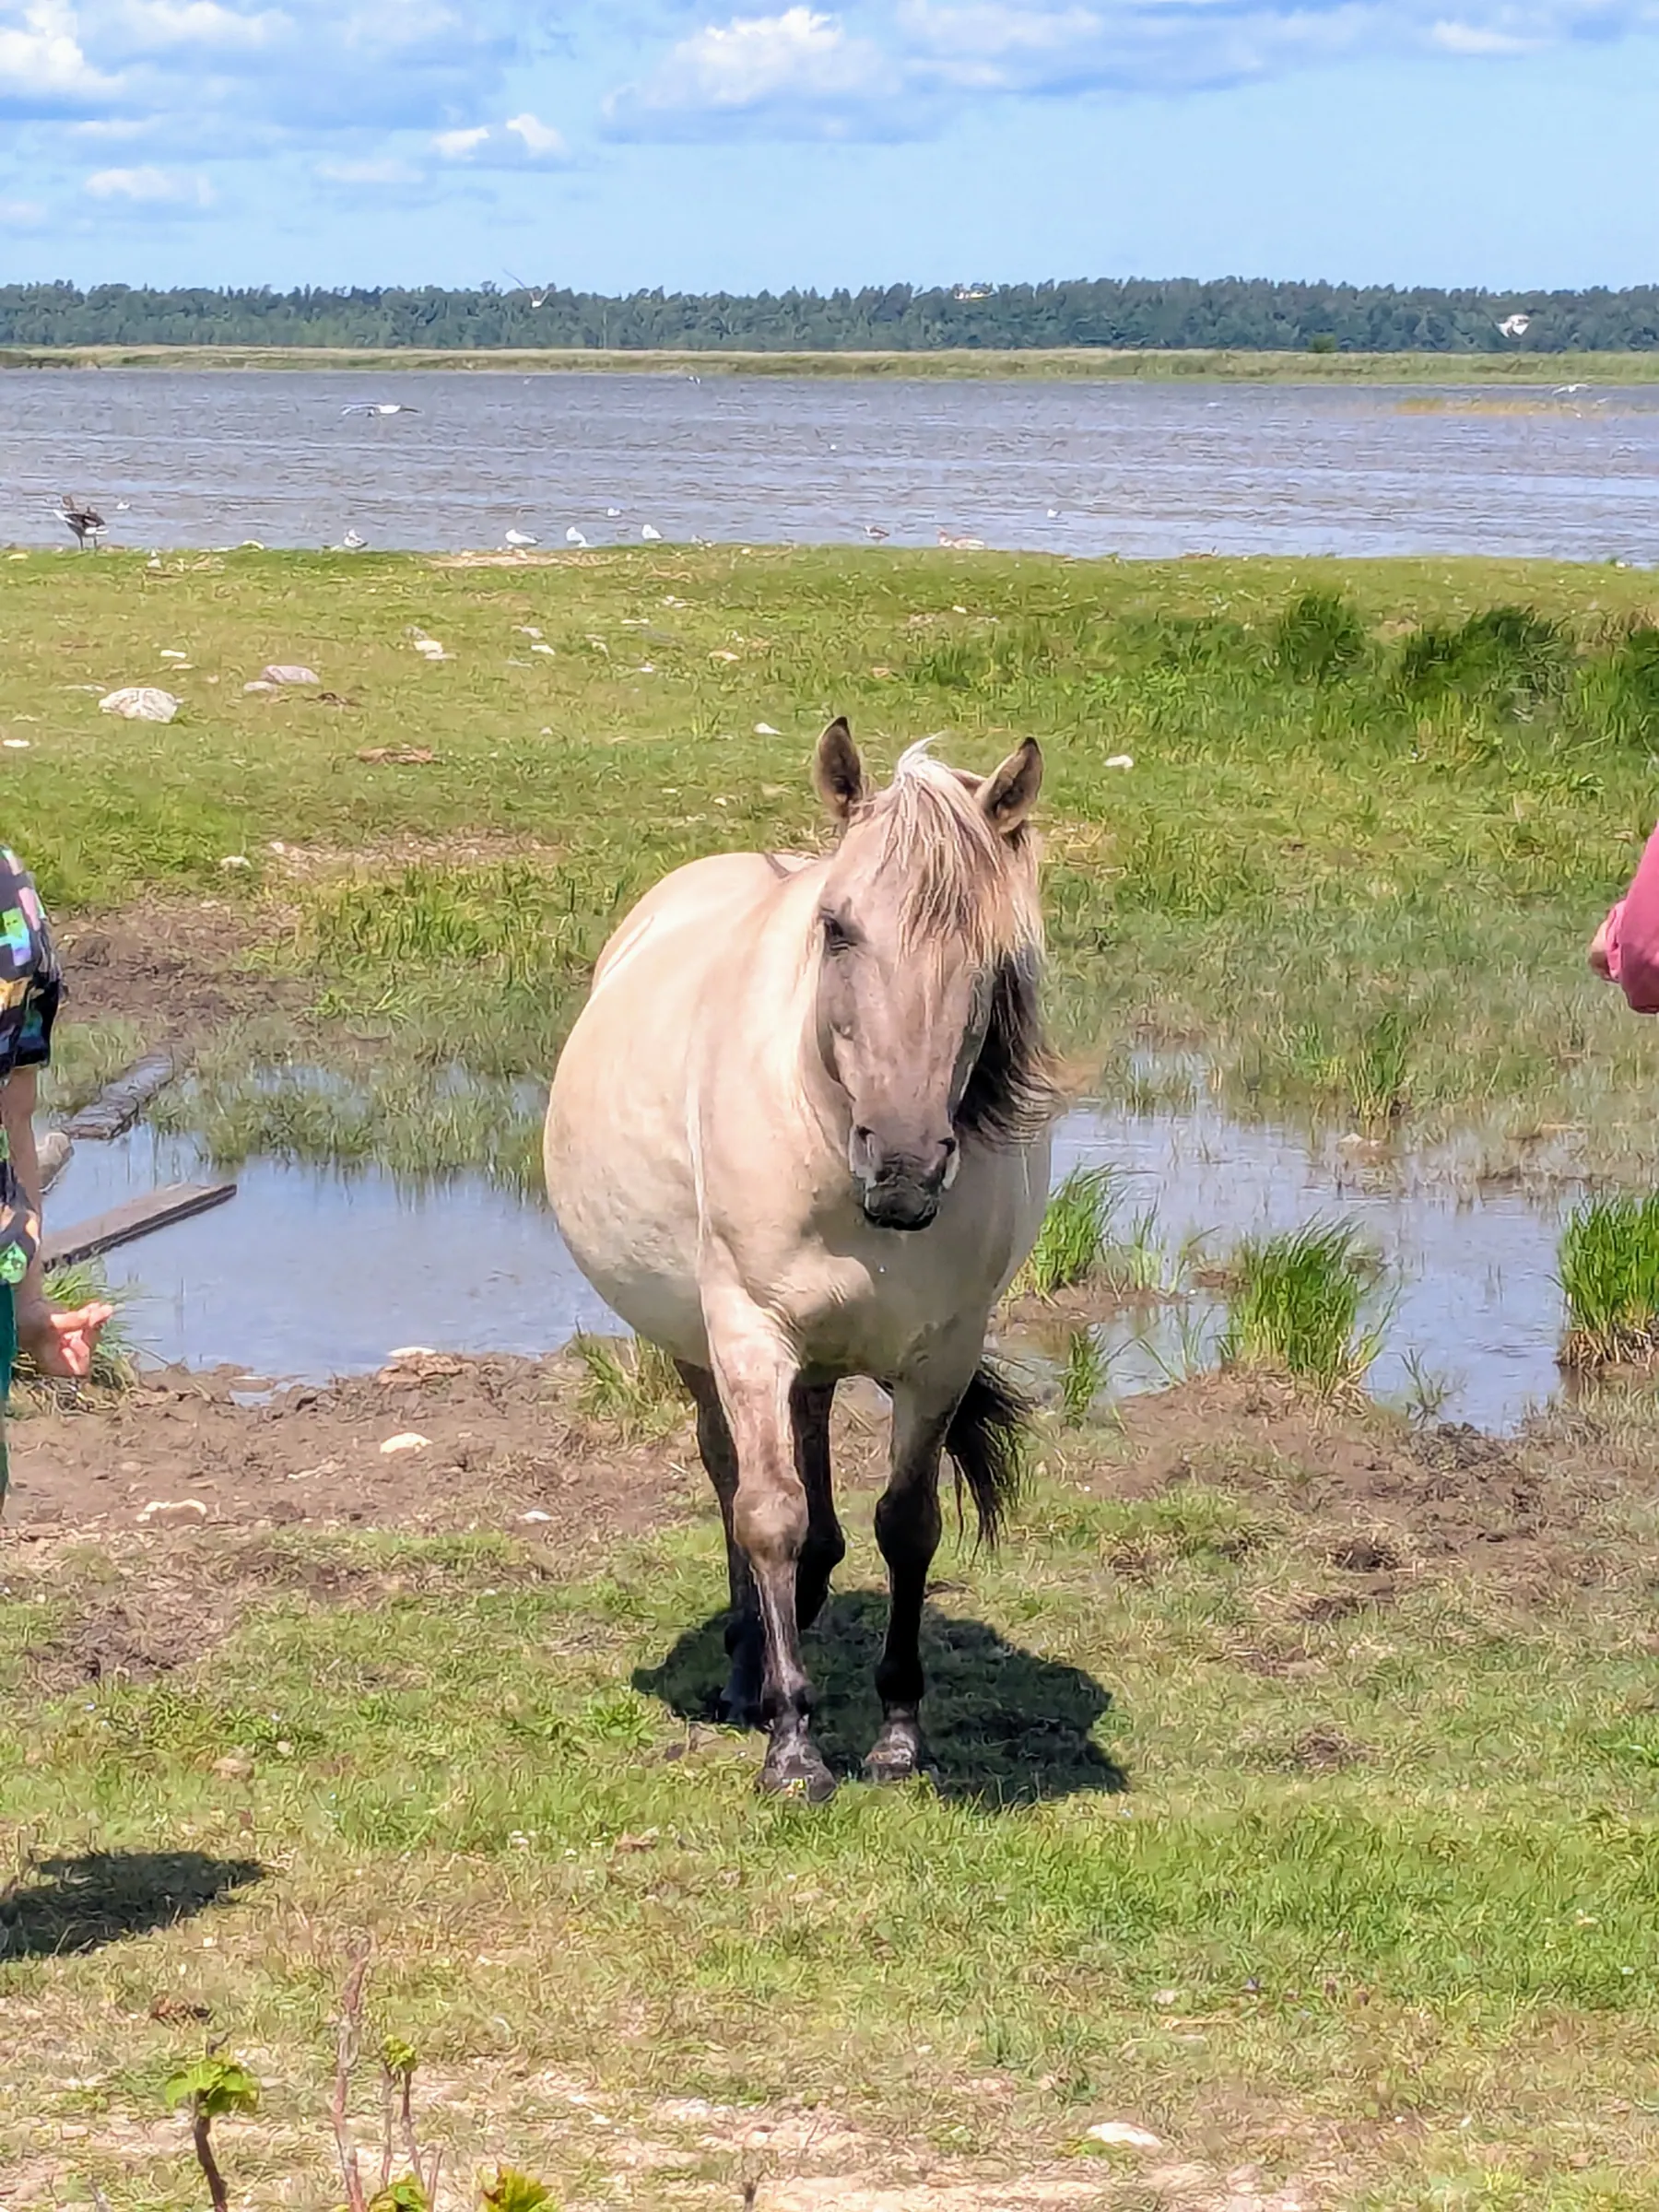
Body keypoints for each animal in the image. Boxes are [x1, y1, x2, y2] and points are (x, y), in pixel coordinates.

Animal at [544, 720, 1059, 1799]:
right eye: (838, 928)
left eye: (994, 954)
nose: (904, 1164)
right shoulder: (746, 1331)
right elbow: (767, 1512)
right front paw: (792, 1744)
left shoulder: (945, 1352)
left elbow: (907, 1524)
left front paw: (900, 1732)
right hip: (700, 1342)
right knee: (729, 1474)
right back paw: (751, 1665)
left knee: (812, 1435)